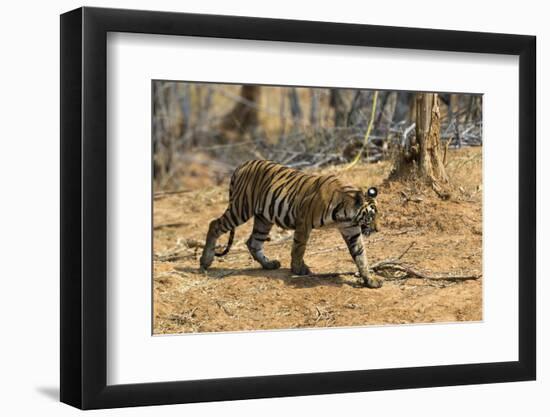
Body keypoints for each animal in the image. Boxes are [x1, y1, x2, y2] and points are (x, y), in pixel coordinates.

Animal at [198, 158, 384, 288]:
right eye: (370, 216)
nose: (378, 229)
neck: (346, 214)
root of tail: (242, 164)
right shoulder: (304, 222)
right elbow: (298, 248)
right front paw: (298, 270)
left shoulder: (351, 230)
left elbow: (360, 255)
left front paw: (370, 280)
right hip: (241, 209)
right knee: (214, 224)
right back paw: (205, 261)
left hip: (263, 218)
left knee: (253, 242)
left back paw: (269, 264)